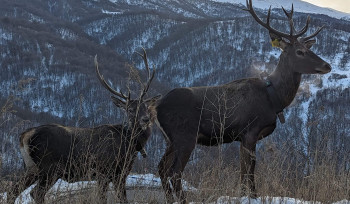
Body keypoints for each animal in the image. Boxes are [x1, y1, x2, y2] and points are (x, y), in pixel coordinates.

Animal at [6, 49, 160, 204]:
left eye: (146, 107)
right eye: (130, 109)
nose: (146, 119)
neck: (129, 144)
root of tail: (24, 136)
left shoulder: (120, 173)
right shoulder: (105, 171)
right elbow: (105, 198)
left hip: (31, 167)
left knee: (13, 191)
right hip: (50, 167)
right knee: (36, 193)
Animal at [155, 0, 330, 203]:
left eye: (310, 49)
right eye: (300, 52)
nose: (327, 66)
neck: (274, 98)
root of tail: (156, 108)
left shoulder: (241, 137)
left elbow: (242, 170)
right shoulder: (250, 131)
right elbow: (250, 170)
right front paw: (252, 195)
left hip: (170, 139)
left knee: (161, 168)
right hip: (185, 135)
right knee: (175, 172)